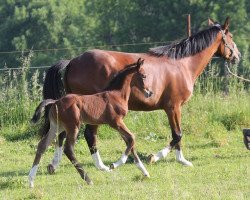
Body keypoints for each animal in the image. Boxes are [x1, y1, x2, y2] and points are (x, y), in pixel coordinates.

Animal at [27, 58, 152, 188]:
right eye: (144, 76)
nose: (150, 93)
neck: (117, 94)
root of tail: (55, 102)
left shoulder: (118, 124)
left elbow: (130, 142)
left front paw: (145, 172)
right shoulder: (116, 122)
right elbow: (132, 137)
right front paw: (114, 164)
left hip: (56, 126)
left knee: (42, 145)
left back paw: (31, 181)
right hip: (73, 126)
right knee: (68, 149)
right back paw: (88, 179)